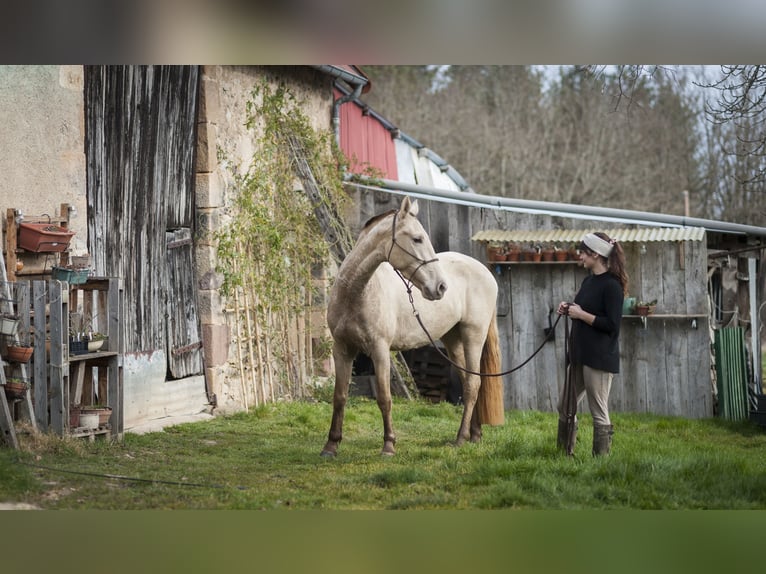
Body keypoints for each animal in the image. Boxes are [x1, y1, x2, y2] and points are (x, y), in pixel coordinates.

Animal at [320, 198, 508, 460]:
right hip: (452, 340)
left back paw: (461, 438)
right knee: (468, 380)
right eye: (417, 239)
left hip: (473, 335)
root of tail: (485, 271)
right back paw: (475, 434)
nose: (440, 287)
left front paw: (389, 445)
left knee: (472, 385)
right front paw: (331, 445)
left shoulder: (380, 350)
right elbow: (339, 397)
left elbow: (385, 398)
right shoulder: (342, 350)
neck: (356, 292)